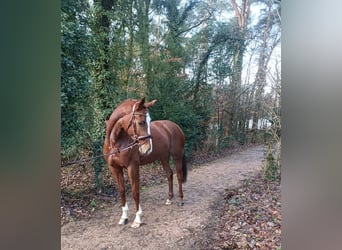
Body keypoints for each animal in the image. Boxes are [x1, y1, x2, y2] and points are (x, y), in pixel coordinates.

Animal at [103, 98, 187, 229]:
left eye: (149, 121)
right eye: (141, 122)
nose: (147, 149)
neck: (116, 143)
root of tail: (175, 126)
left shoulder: (132, 167)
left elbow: (135, 192)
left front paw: (137, 219)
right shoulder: (115, 168)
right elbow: (122, 191)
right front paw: (124, 217)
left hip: (177, 156)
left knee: (178, 175)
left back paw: (180, 200)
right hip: (163, 157)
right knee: (169, 174)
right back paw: (169, 199)